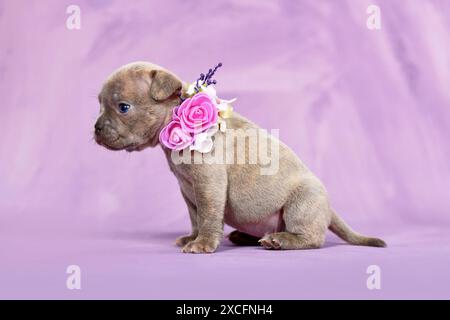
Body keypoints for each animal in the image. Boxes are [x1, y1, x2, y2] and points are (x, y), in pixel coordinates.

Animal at [93, 62, 384, 252]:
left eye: (123, 107)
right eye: (99, 104)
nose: (95, 128)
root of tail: (329, 209)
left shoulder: (209, 185)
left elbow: (208, 215)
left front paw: (203, 244)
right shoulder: (188, 190)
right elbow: (195, 216)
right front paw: (192, 237)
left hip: (302, 202)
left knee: (312, 238)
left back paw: (280, 240)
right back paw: (247, 236)